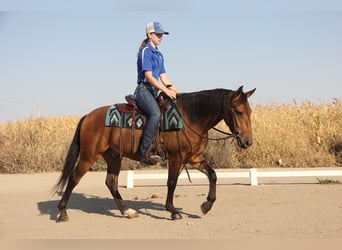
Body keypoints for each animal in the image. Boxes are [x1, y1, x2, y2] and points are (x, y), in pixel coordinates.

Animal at [53, 85, 255, 221]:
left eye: (250, 111)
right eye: (238, 111)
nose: (248, 141)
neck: (190, 118)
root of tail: (88, 116)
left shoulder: (194, 158)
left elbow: (212, 175)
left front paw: (206, 205)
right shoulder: (176, 157)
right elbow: (172, 182)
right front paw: (173, 211)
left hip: (113, 157)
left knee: (111, 182)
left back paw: (127, 211)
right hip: (89, 155)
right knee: (74, 178)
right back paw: (62, 212)